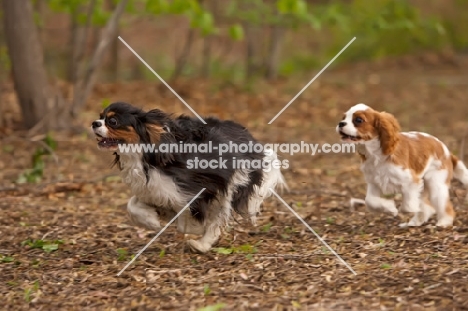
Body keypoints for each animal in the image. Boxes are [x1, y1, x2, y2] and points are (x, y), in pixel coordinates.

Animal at [92, 102, 286, 254]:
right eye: (100, 116)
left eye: (113, 121)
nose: (94, 123)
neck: (144, 155)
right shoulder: (152, 189)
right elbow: (132, 205)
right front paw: (152, 219)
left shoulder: (201, 187)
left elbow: (186, 218)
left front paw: (193, 226)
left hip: (233, 182)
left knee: (219, 216)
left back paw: (201, 244)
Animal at [336, 103, 468, 228]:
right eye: (344, 117)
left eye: (358, 120)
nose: (341, 123)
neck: (376, 154)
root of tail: (447, 152)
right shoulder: (374, 183)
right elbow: (370, 201)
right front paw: (389, 208)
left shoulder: (411, 181)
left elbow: (408, 205)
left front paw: (399, 209)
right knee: (428, 207)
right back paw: (414, 223)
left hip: (436, 184)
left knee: (444, 207)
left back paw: (443, 223)